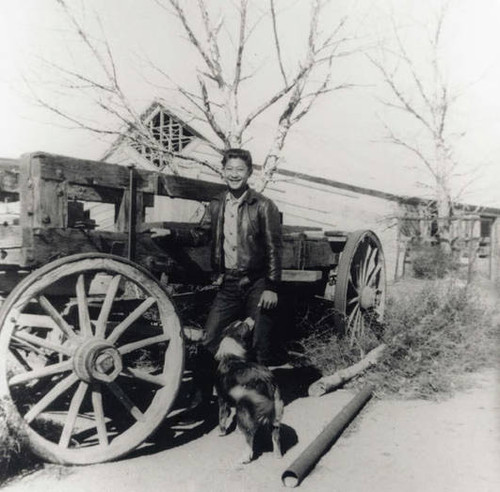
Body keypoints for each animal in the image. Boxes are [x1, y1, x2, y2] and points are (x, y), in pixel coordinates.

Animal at [215, 318, 286, 464]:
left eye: (244, 325)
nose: (250, 318)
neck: (232, 356)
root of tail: (267, 380)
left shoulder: (222, 399)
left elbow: (222, 417)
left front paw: (222, 432)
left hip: (245, 409)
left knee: (249, 438)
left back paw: (245, 458)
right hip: (275, 415)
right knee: (276, 437)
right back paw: (277, 455)